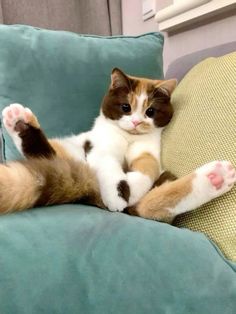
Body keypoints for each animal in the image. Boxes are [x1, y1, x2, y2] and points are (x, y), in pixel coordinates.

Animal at [0, 68, 236, 222]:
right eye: (126, 107)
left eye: (150, 111)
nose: (136, 122)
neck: (128, 138)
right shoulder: (100, 147)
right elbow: (108, 167)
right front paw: (118, 193)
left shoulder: (148, 152)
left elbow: (147, 169)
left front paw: (132, 185)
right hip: (74, 151)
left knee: (151, 204)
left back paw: (215, 177)